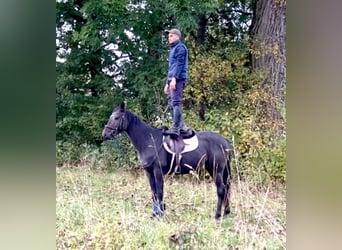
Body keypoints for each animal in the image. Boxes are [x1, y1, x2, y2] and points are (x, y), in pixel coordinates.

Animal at [102, 101, 232, 219]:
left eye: (116, 117)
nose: (105, 134)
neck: (150, 140)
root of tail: (224, 141)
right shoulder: (149, 172)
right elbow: (154, 193)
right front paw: (155, 214)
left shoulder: (158, 172)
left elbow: (160, 192)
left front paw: (161, 214)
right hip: (213, 168)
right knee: (226, 188)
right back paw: (226, 212)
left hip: (217, 169)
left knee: (221, 189)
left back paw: (217, 215)